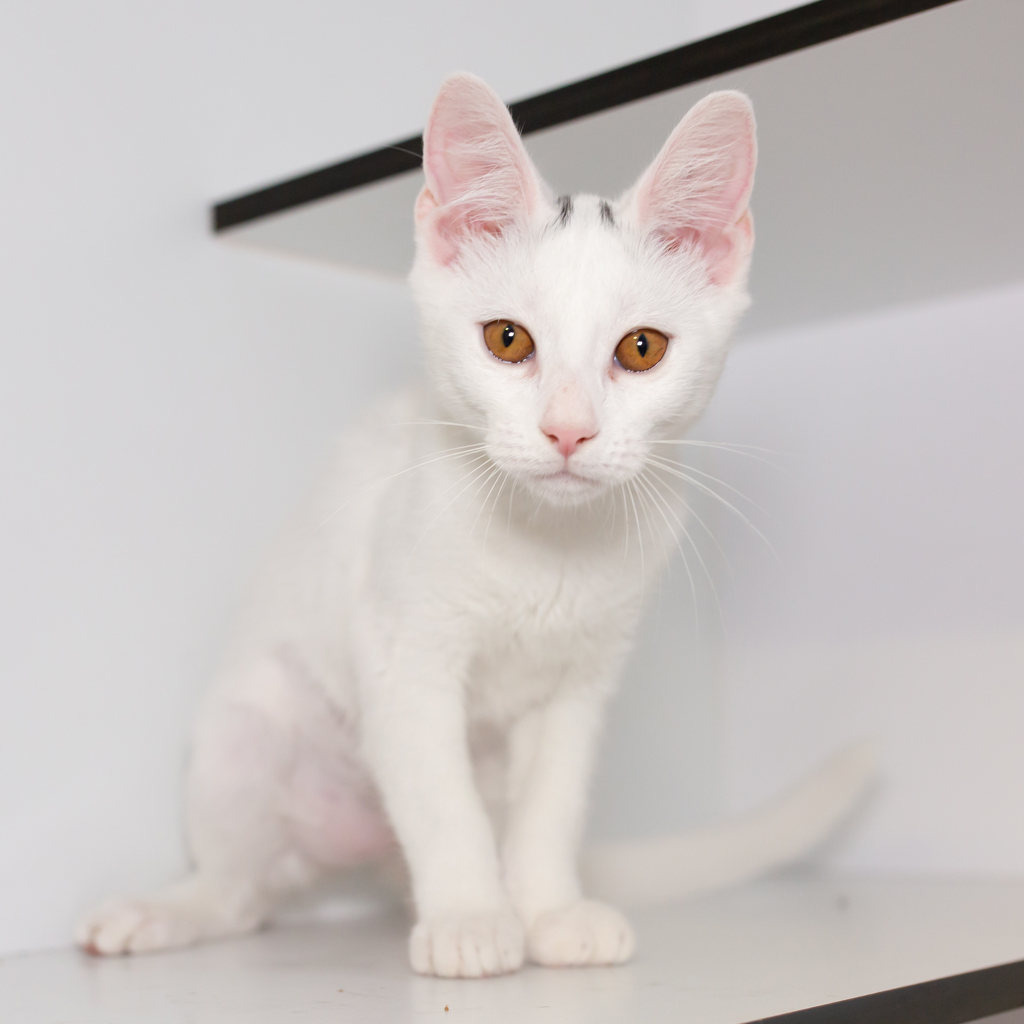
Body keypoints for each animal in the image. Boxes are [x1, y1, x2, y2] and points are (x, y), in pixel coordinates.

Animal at [78, 73, 872, 978]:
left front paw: (549, 910)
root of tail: (367, 858)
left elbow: (551, 808)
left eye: (641, 348)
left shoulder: (580, 688)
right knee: (243, 895)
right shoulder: (403, 656)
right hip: (245, 728)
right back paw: (170, 909)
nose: (569, 431)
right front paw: (468, 918)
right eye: (507, 338)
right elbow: (440, 802)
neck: (544, 550)